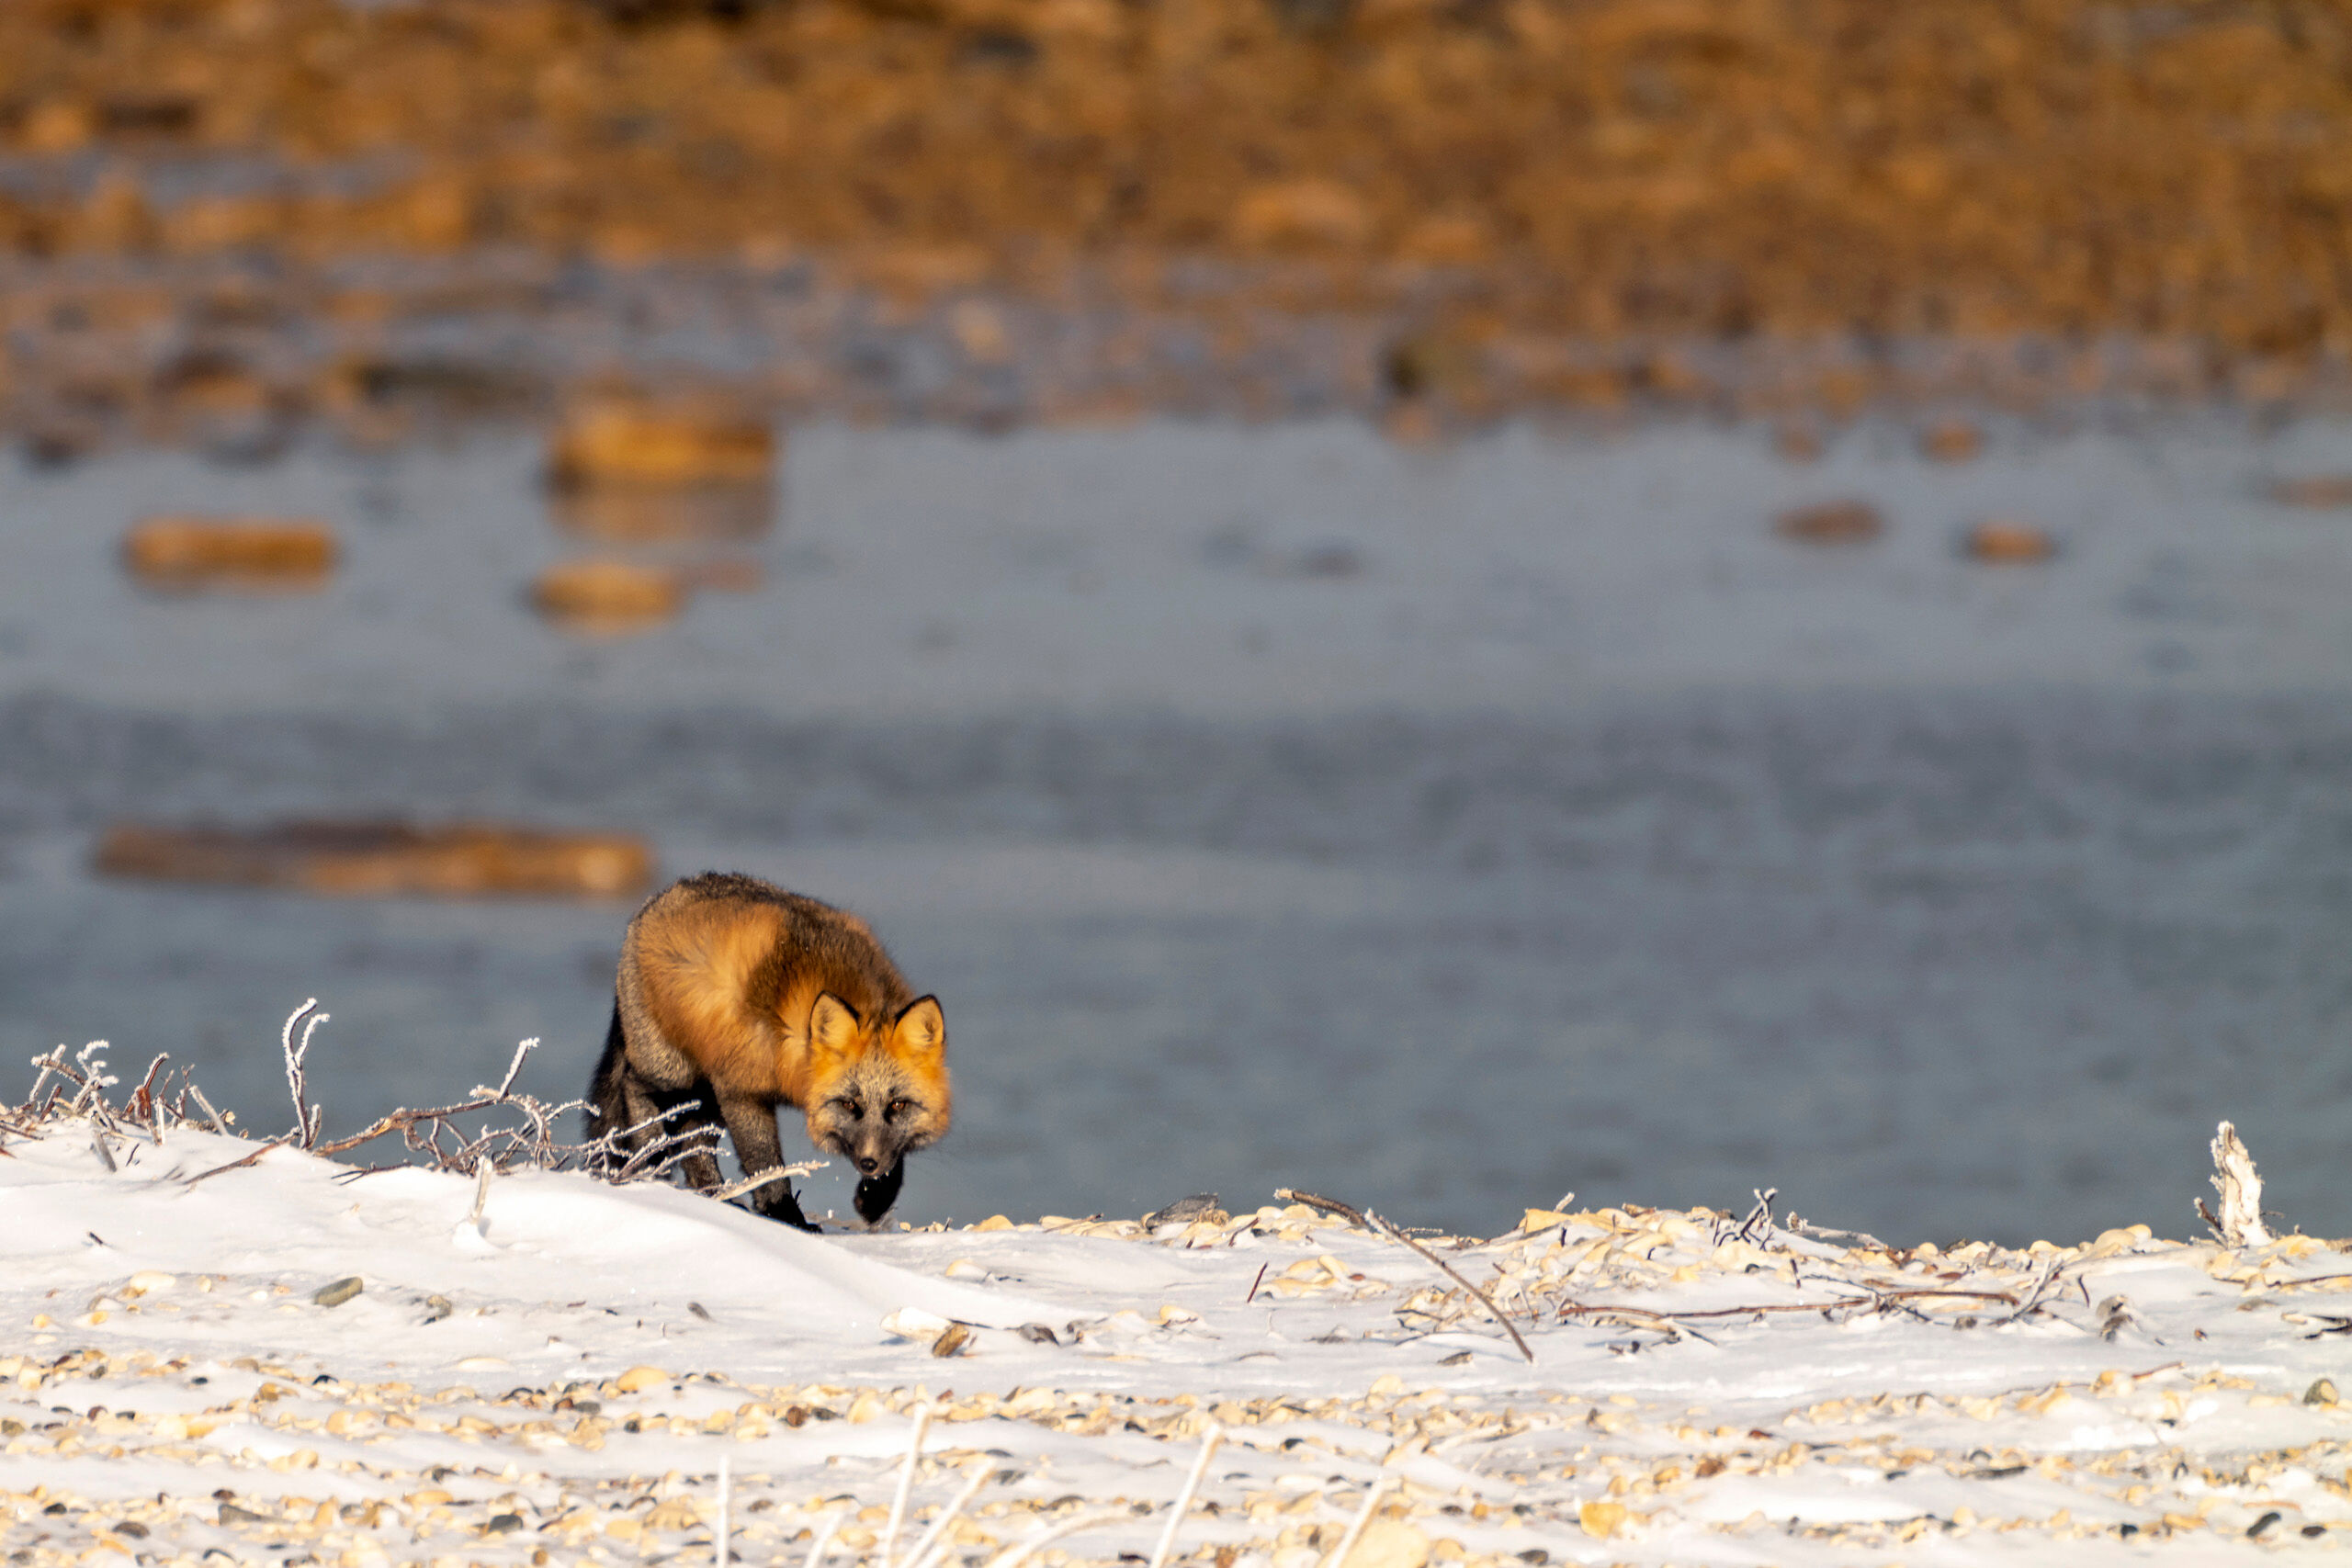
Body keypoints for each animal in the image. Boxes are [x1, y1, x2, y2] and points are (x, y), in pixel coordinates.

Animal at [585, 871, 949, 1230]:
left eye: (898, 1105)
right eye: (849, 1104)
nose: (869, 1163)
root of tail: (653, 902)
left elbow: (897, 1155)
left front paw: (875, 1199)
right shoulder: (741, 1088)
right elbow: (764, 1162)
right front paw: (785, 1215)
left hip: (705, 1092)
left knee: (692, 1141)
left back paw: (714, 1194)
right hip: (676, 1074)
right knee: (634, 1086)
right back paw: (651, 1159)